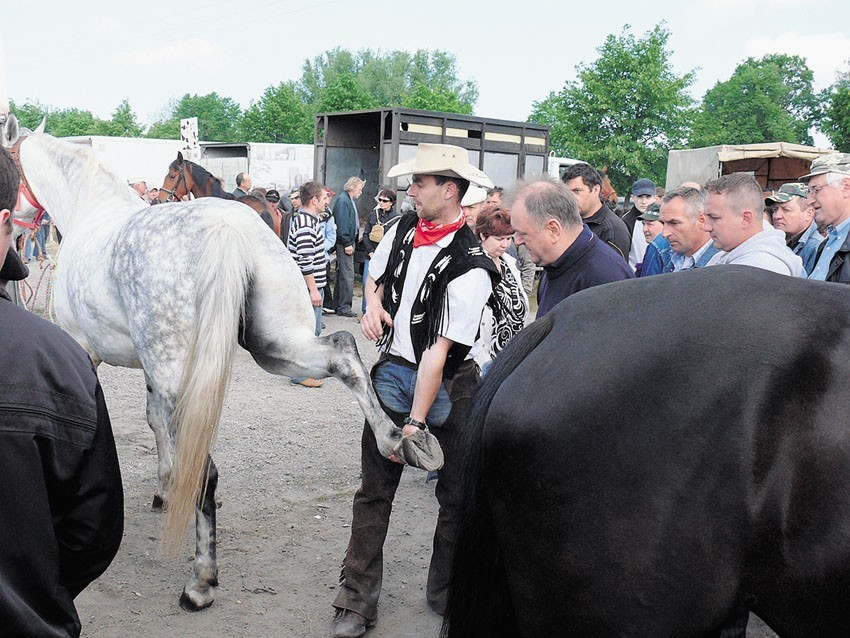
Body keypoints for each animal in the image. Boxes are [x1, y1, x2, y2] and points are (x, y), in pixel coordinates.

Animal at [3, 116, 444, 616]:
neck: (90, 209)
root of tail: (224, 226)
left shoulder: (91, 353)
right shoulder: (154, 373)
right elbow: (155, 422)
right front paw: (166, 486)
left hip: (191, 369)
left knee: (207, 474)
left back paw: (200, 581)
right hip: (273, 347)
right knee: (345, 354)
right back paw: (396, 439)